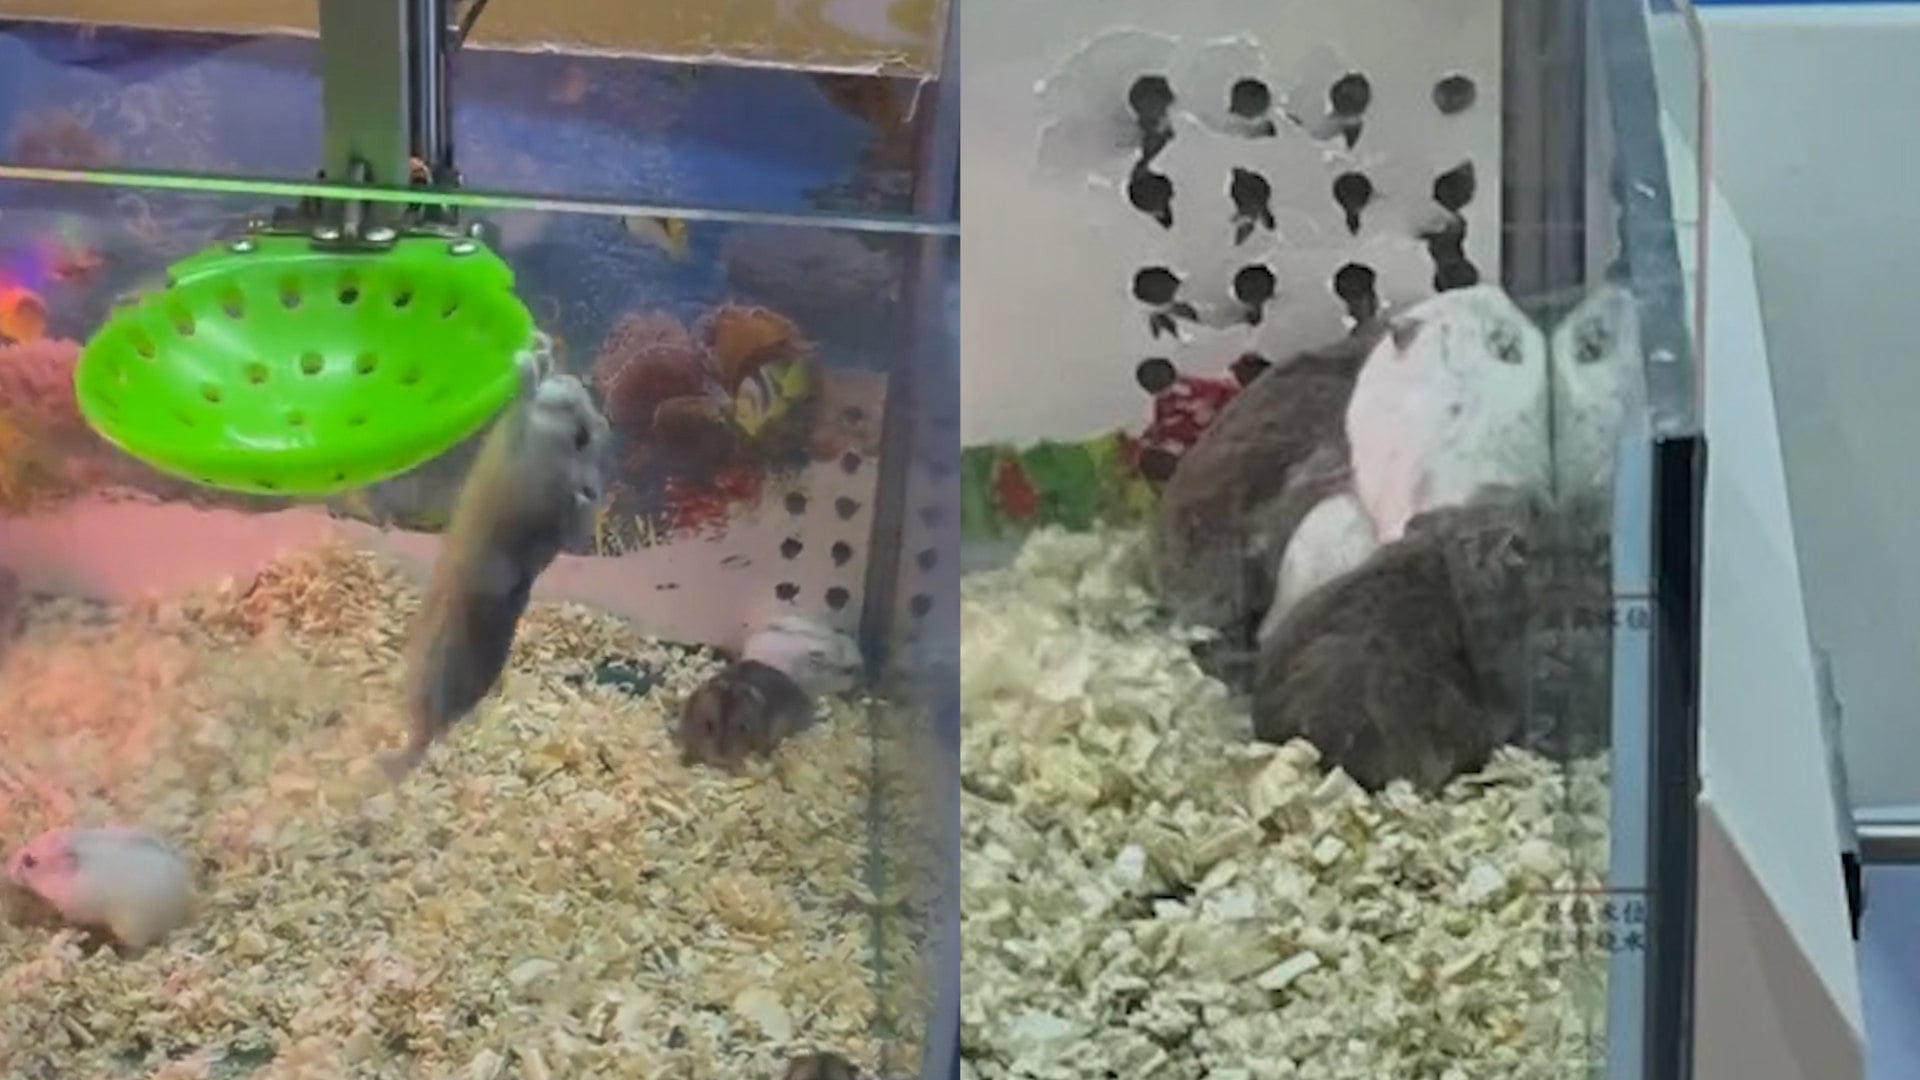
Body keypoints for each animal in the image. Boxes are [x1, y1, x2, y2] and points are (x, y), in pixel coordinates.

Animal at [379, 334, 613, 781]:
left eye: (582, 436)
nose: (574, 381)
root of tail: (429, 734)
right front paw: (540, 349)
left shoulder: (522, 449)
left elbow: (523, 397)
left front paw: (526, 362)